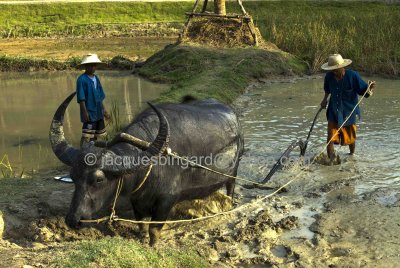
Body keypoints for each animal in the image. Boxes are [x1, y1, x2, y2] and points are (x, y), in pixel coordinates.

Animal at [50, 92, 244, 245]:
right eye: (73, 177)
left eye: (99, 179)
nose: (73, 220)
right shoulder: (137, 199)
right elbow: (142, 224)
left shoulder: (166, 200)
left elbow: (154, 230)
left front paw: (153, 245)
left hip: (233, 172)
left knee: (230, 188)